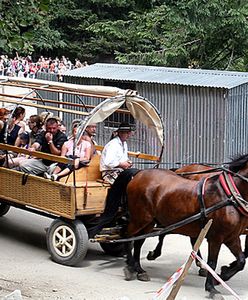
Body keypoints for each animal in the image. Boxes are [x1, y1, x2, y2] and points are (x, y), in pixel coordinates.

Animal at [122, 155, 248, 298]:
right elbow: (212, 263)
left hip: (149, 222)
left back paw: (139, 269)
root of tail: (139, 173)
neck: (230, 195)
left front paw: (222, 276)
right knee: (127, 236)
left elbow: (241, 261)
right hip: (140, 219)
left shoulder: (232, 237)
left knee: (139, 242)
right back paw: (130, 266)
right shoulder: (216, 238)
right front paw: (211, 287)